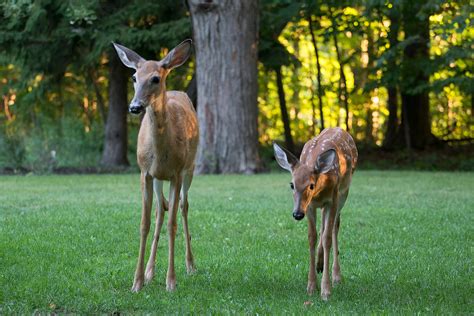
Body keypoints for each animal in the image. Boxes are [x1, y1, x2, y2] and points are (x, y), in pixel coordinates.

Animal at [114, 40, 199, 292]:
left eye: (155, 78)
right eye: (134, 76)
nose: (134, 107)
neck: (161, 152)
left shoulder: (177, 172)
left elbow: (172, 224)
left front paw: (171, 281)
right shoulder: (145, 173)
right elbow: (145, 223)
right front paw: (137, 281)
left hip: (190, 169)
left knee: (183, 207)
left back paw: (190, 265)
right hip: (160, 179)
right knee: (161, 210)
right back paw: (150, 271)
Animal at [274, 127, 356, 300]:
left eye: (311, 185)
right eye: (291, 184)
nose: (297, 214)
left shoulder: (332, 200)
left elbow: (327, 238)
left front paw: (326, 290)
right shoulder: (310, 206)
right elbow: (312, 237)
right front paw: (311, 286)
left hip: (343, 193)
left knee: (334, 227)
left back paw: (336, 276)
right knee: (323, 229)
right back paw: (319, 264)